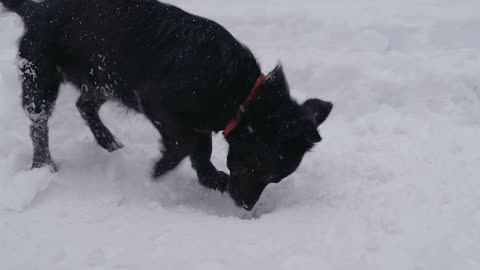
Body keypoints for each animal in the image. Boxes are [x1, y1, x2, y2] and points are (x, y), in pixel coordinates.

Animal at [2, 0, 334, 211]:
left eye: (274, 178)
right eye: (264, 171)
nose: (246, 207)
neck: (238, 91)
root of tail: (35, 8)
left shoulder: (198, 121)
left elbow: (201, 151)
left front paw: (212, 178)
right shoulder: (157, 103)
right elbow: (186, 144)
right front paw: (162, 169)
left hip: (104, 79)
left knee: (84, 105)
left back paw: (109, 142)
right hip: (41, 79)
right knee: (39, 125)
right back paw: (43, 166)